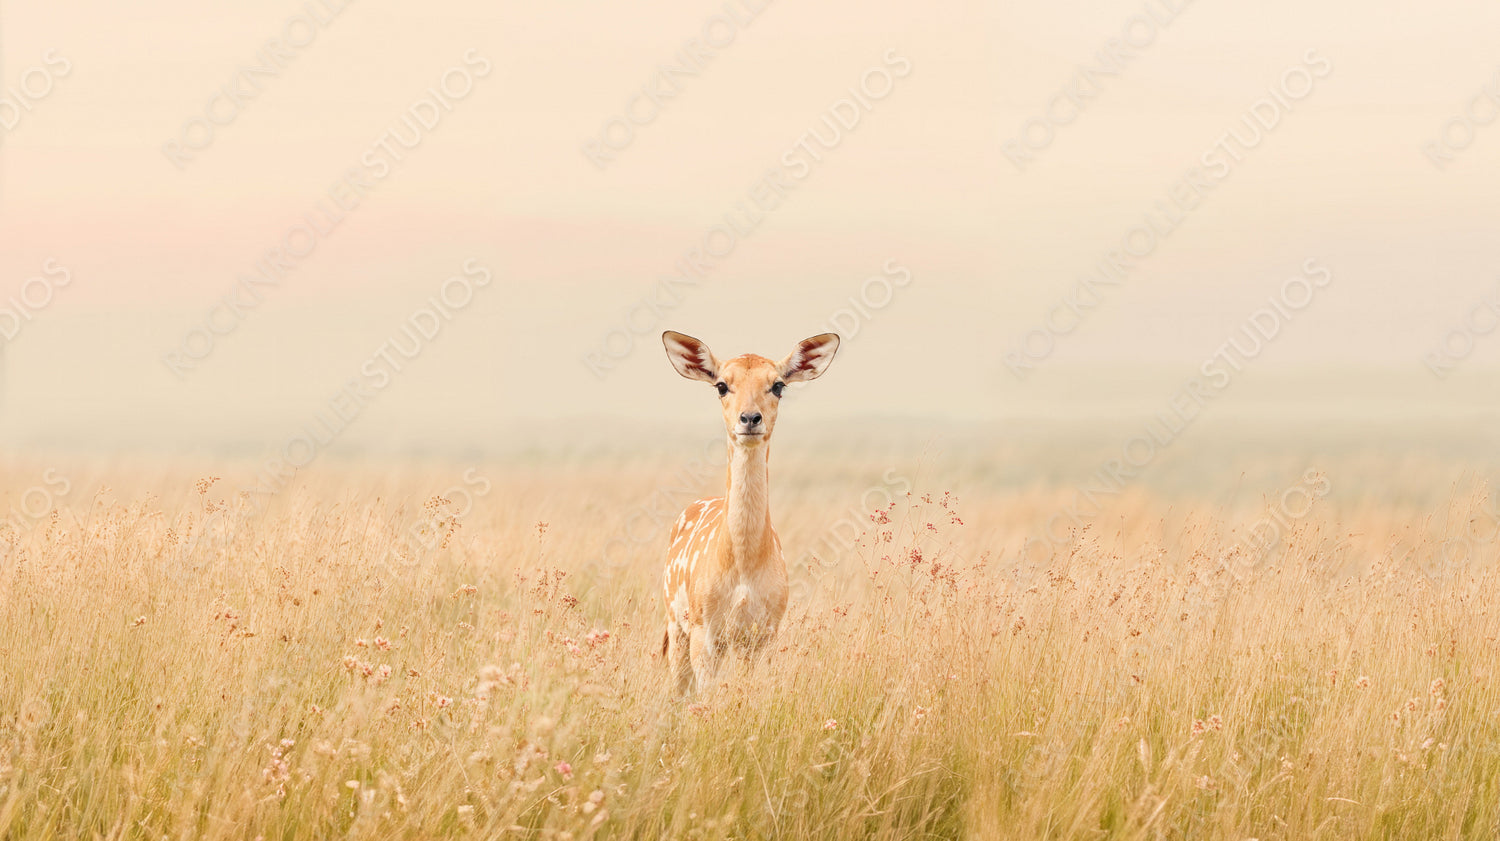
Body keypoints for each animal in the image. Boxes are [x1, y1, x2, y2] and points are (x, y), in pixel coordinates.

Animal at [658, 330, 840, 696]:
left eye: (778, 385)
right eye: (722, 385)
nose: (750, 419)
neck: (742, 568)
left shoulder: (763, 633)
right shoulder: (704, 630)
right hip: (675, 624)